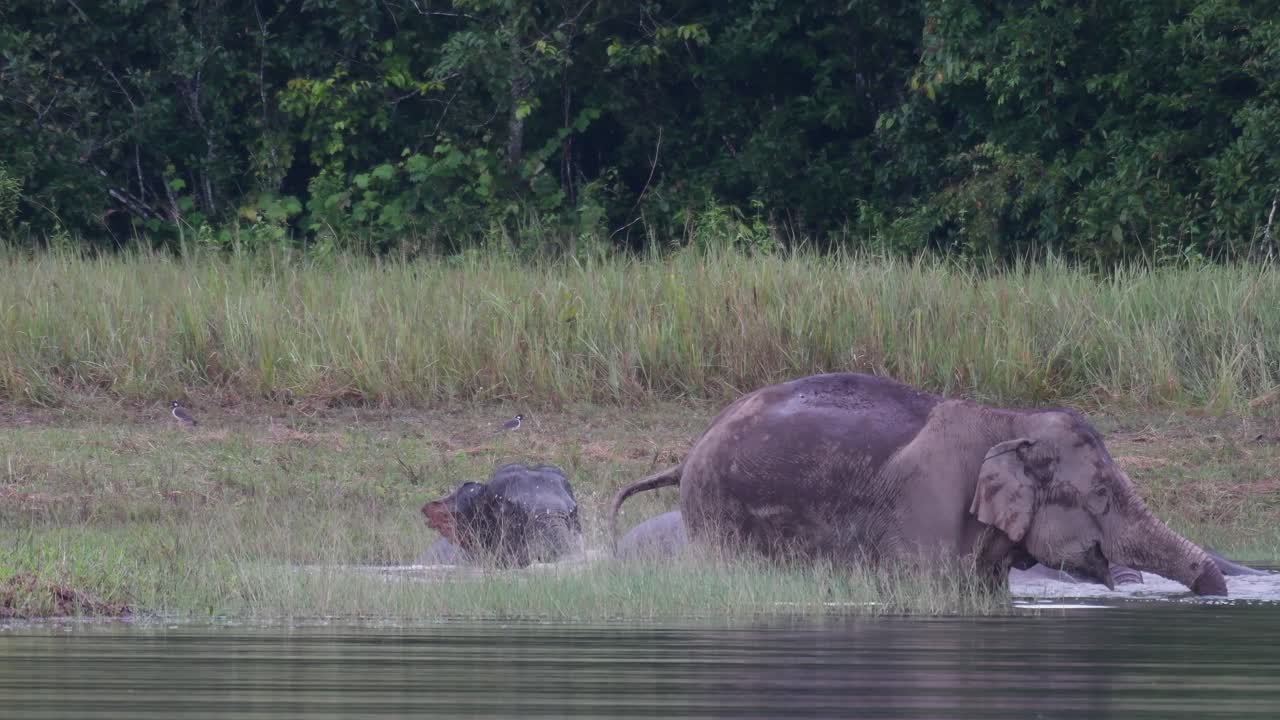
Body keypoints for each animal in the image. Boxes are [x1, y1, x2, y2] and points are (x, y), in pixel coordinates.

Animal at [609, 372, 1230, 595]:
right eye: (1100, 495)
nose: (1209, 591)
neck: (1007, 420)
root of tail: (687, 455)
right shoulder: (926, 501)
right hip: (715, 510)